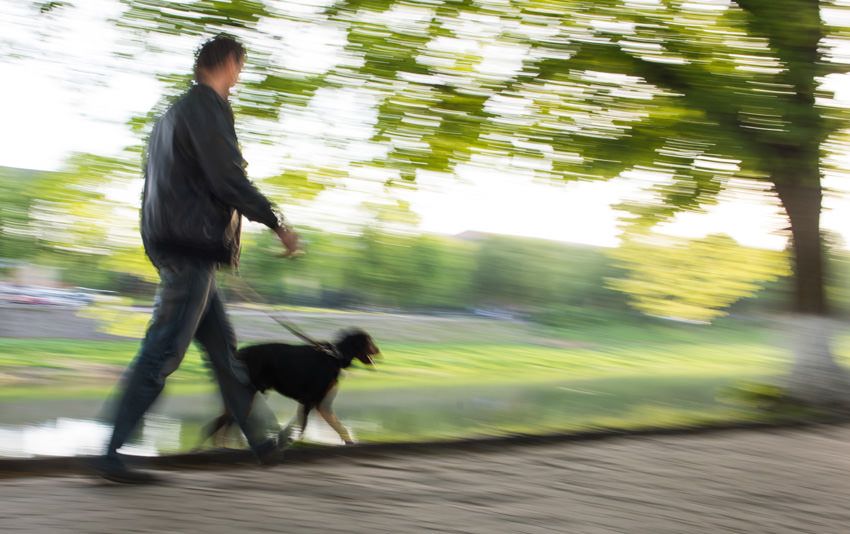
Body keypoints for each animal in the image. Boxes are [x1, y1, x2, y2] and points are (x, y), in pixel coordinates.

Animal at [200, 330, 378, 448]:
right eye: (368, 341)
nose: (378, 351)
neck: (336, 356)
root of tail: (238, 355)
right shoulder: (316, 402)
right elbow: (305, 426)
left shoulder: (315, 403)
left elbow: (331, 425)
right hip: (250, 393)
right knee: (227, 423)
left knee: (222, 422)